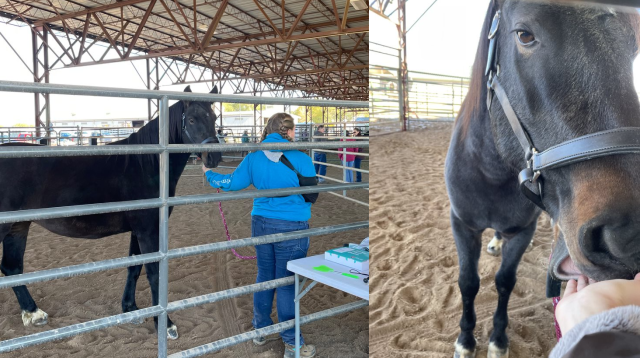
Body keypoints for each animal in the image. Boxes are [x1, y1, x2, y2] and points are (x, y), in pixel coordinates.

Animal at [0, 85, 222, 340]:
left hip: (18, 226)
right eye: (192, 119)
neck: (147, 163)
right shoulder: (148, 231)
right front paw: (165, 325)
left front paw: (130, 309)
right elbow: (153, 271)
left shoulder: (139, 230)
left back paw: (33, 312)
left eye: (214, 117)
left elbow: (134, 267)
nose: (214, 157)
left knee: (12, 268)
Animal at [444, 1, 640, 356]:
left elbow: (505, 282)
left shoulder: (524, 230)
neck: (493, 173)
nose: (630, 238)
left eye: (634, 45)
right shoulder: (462, 225)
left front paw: (498, 339)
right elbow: (468, 282)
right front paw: (466, 340)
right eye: (524, 34)